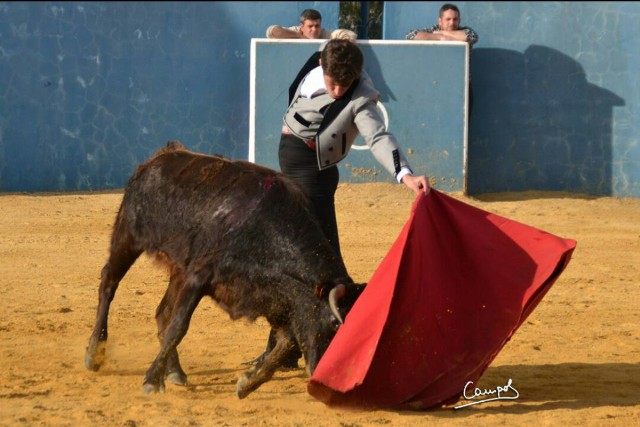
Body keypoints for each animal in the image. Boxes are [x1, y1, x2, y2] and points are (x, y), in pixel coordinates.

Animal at [85, 142, 364, 400]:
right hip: (128, 236)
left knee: (162, 313)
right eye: (335, 324)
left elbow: (286, 343)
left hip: (178, 268)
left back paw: (175, 371)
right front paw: (152, 380)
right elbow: (179, 326)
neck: (268, 233)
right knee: (109, 283)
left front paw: (248, 383)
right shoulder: (200, 276)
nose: (323, 382)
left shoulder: (276, 299)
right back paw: (94, 353)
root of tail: (161, 156)